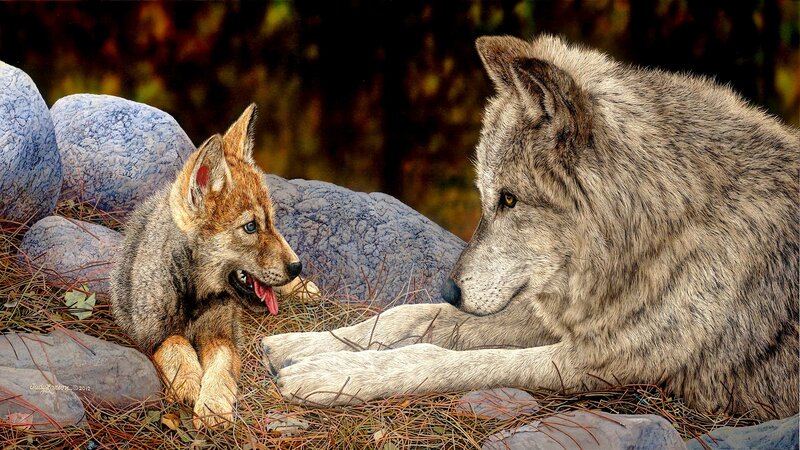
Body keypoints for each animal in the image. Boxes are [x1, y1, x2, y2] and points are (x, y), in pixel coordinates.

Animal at [110, 104, 316, 428]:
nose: (297, 266)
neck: (195, 298)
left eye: (271, 222)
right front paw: (188, 383)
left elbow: (220, 368)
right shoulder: (152, 335)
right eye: (250, 227)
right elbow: (177, 346)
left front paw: (213, 405)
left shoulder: (224, 336)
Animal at [262, 35, 799, 420]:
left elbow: (447, 359)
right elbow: (409, 317)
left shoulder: (600, 362)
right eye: (487, 197)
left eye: (509, 199)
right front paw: (298, 346)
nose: (451, 288)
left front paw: (331, 376)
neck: (663, 230)